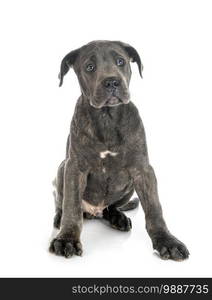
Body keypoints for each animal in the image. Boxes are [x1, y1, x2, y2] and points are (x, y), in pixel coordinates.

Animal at [49, 39, 189, 260]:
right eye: (90, 67)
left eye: (121, 61)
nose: (112, 82)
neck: (107, 116)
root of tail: (93, 212)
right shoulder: (74, 167)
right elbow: (72, 206)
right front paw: (67, 239)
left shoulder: (143, 170)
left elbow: (154, 208)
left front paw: (167, 241)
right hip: (62, 168)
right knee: (63, 202)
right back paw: (60, 217)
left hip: (128, 187)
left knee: (111, 208)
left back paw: (118, 218)